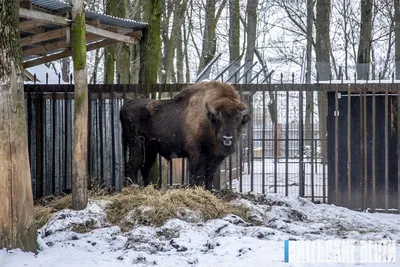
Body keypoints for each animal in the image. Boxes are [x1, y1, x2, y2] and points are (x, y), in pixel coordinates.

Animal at [119, 81, 250, 191]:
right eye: (218, 119)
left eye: (238, 120)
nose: (227, 138)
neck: (208, 121)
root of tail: (125, 106)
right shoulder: (196, 155)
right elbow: (197, 175)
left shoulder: (216, 158)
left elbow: (209, 176)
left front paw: (209, 192)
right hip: (136, 145)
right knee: (132, 166)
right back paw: (133, 189)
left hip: (150, 149)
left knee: (145, 167)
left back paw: (149, 189)